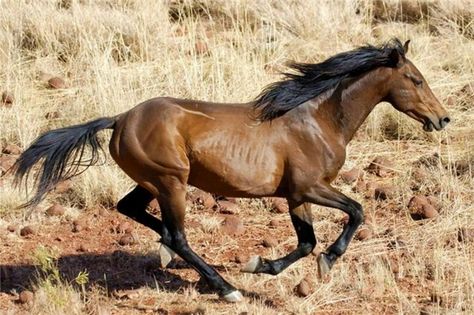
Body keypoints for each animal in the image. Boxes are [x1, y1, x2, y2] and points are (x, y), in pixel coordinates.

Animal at [11, 39, 448, 304]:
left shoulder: (296, 196)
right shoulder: (311, 188)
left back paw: (170, 256)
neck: (318, 119)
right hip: (171, 182)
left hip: (153, 182)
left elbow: (306, 242)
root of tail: (119, 119)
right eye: (415, 79)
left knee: (132, 210)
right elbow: (356, 211)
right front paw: (325, 261)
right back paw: (224, 288)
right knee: (178, 234)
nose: (442, 119)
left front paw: (264, 265)